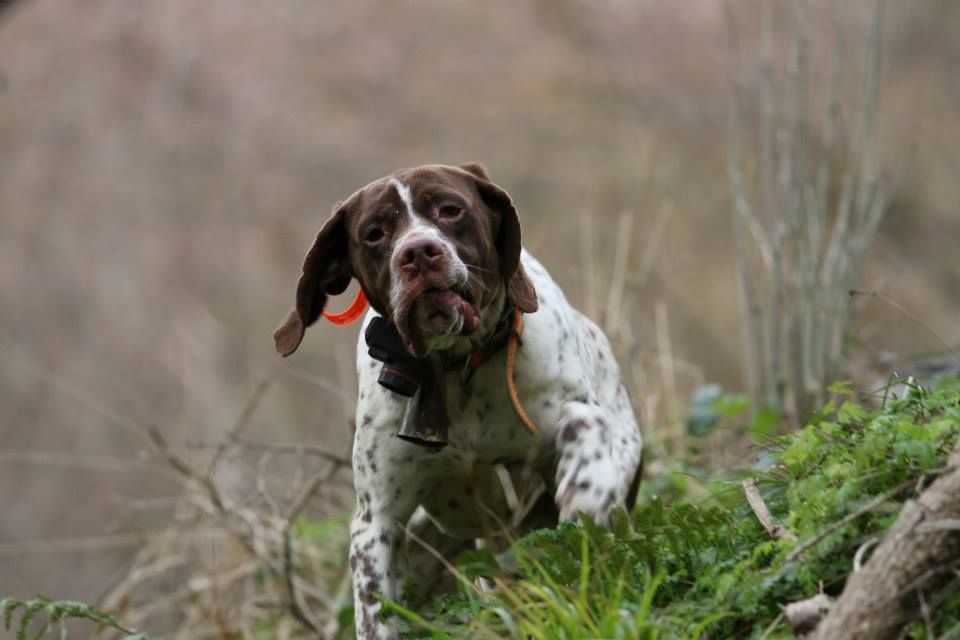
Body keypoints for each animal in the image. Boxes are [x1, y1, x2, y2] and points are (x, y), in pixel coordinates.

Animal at [274, 163, 643, 639]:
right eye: (374, 233)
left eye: (450, 210)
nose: (418, 252)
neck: (456, 365)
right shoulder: (376, 524)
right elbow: (375, 613)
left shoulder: (577, 410)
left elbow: (584, 423)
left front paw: (585, 489)